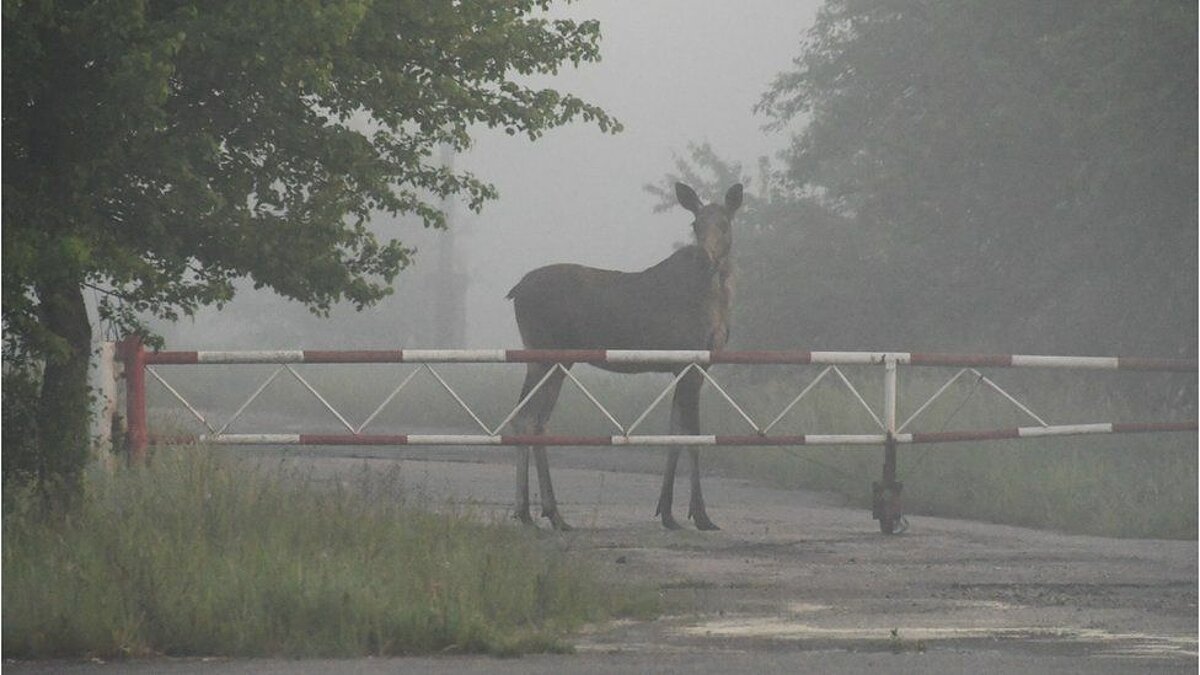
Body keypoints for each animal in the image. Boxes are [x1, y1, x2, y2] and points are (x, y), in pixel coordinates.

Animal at [504, 181, 739, 528]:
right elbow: (693, 437)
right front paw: (700, 514)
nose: (705, 259)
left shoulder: (686, 366)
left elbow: (674, 433)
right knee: (528, 419)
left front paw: (667, 511)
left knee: (530, 419)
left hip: (550, 359)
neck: (717, 300)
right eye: (695, 224)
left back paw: (533, 511)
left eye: (724, 224)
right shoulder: (691, 360)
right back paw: (546, 511)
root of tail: (515, 290)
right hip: (547, 354)